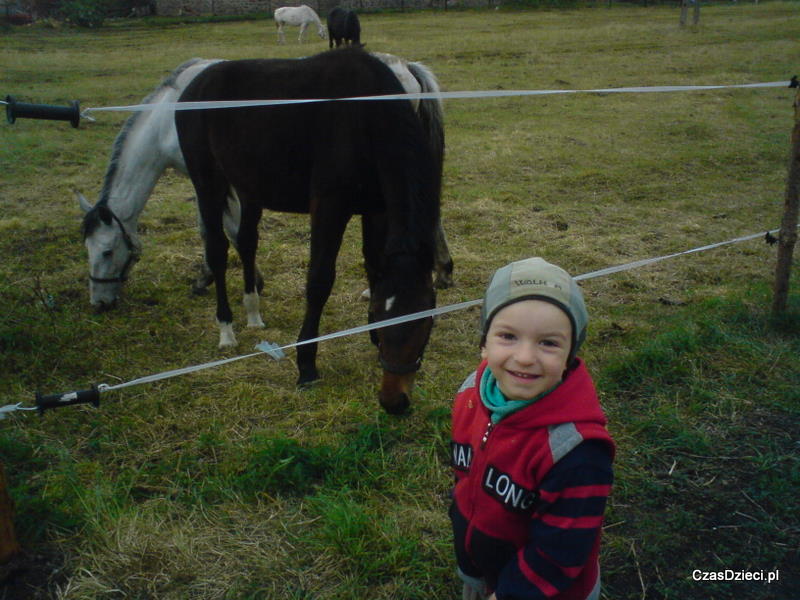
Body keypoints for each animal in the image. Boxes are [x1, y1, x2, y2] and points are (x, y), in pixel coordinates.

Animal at [79, 55, 454, 314]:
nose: (99, 303)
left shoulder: (216, 182)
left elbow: (219, 231)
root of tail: (406, 66)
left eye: (107, 251)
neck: (168, 115)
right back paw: (441, 273)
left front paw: (229, 281)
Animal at [176, 49, 440, 412]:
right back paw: (226, 330)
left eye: (426, 320)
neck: (366, 116)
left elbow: (373, 265)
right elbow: (319, 281)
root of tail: (197, 82)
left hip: (248, 186)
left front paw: (372, 337)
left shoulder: (376, 208)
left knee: (247, 243)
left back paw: (253, 314)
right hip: (208, 182)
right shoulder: (329, 205)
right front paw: (306, 364)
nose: (395, 403)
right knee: (217, 249)